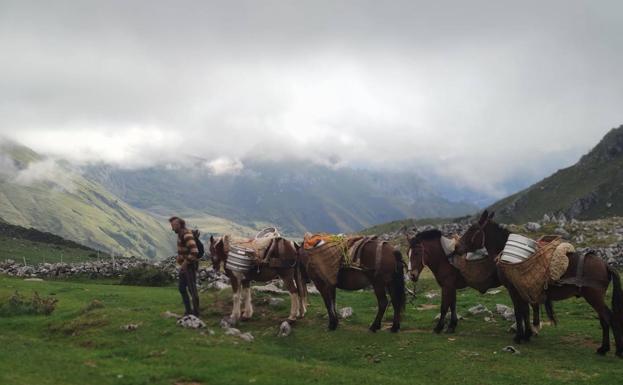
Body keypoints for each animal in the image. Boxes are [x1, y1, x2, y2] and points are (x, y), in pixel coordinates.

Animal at [408, 228, 544, 332]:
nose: (412, 275)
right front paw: (452, 325)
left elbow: (444, 307)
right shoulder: (452, 287)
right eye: (407, 253)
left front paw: (439, 328)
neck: (445, 258)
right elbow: (453, 305)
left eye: (416, 253)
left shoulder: (447, 286)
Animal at [454, 208, 623, 356]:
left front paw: (519, 337)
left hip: (593, 297)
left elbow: (519, 312)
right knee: (604, 319)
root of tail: (606, 265)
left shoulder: (513, 289)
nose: (456, 248)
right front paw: (527, 334)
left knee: (609, 318)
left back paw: (613, 351)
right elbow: (525, 311)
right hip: (595, 298)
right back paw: (604, 348)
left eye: (472, 229)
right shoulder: (522, 289)